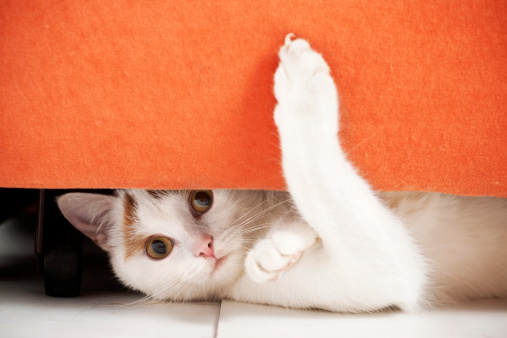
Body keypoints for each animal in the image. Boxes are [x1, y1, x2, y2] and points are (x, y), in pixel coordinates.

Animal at [56, 34, 507, 312]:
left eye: (201, 198)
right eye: (158, 248)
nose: (205, 248)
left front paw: (287, 233)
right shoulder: (373, 276)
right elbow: (319, 183)